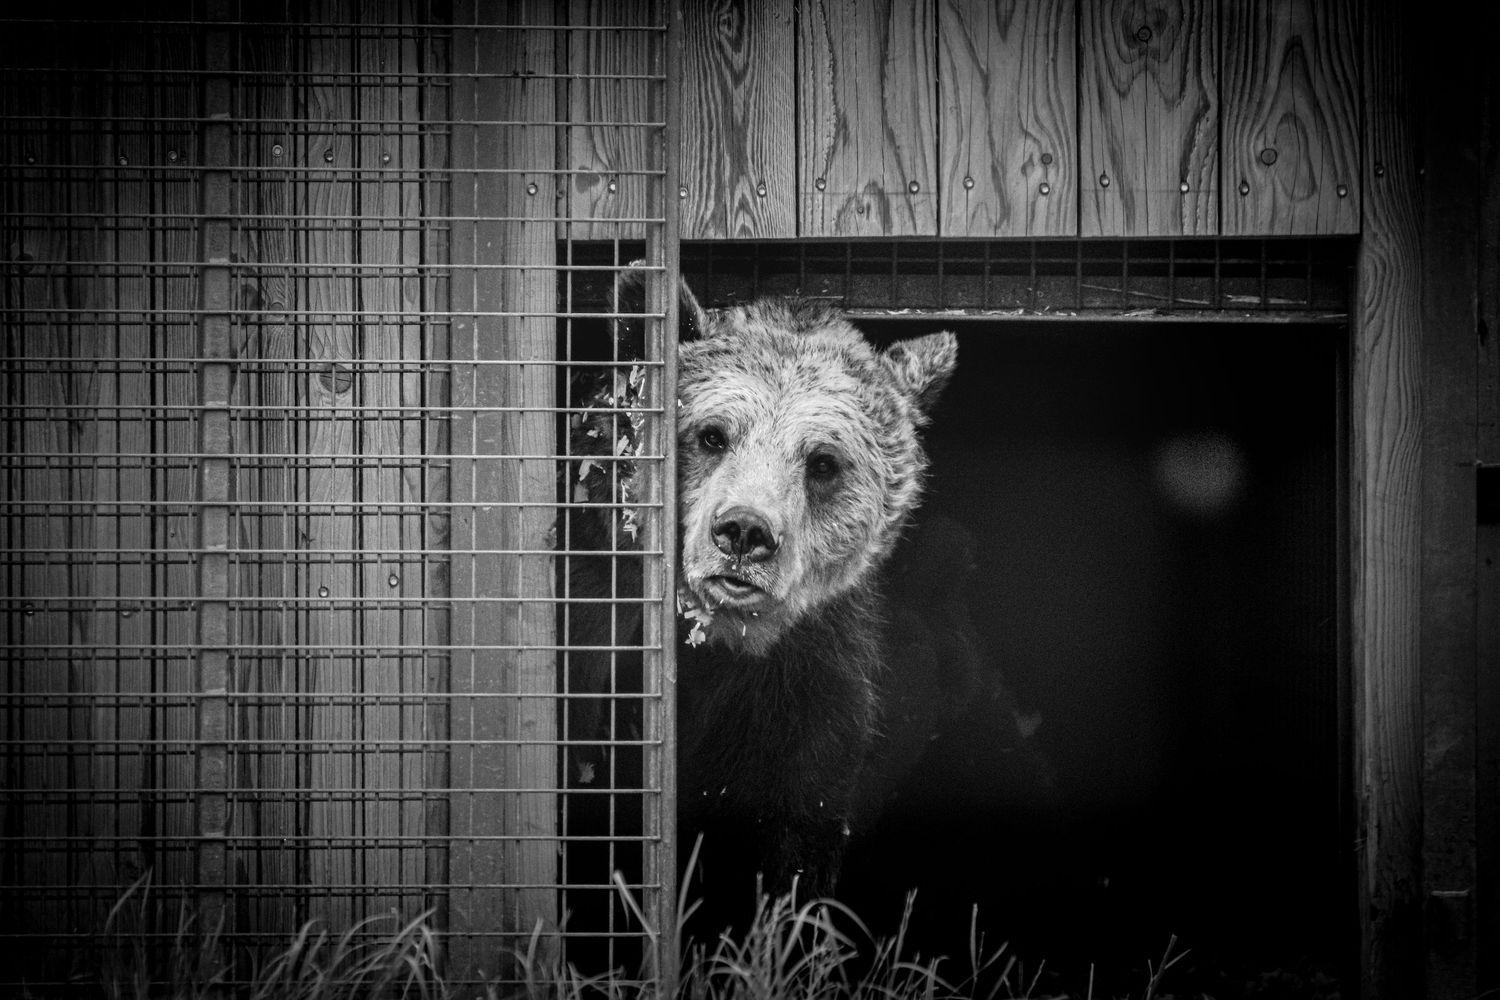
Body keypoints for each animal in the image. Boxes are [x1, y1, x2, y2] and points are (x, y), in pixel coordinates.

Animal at [566, 267, 958, 939]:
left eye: (822, 461)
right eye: (712, 434)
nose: (744, 531)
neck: (718, 644)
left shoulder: (810, 685)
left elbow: (796, 844)